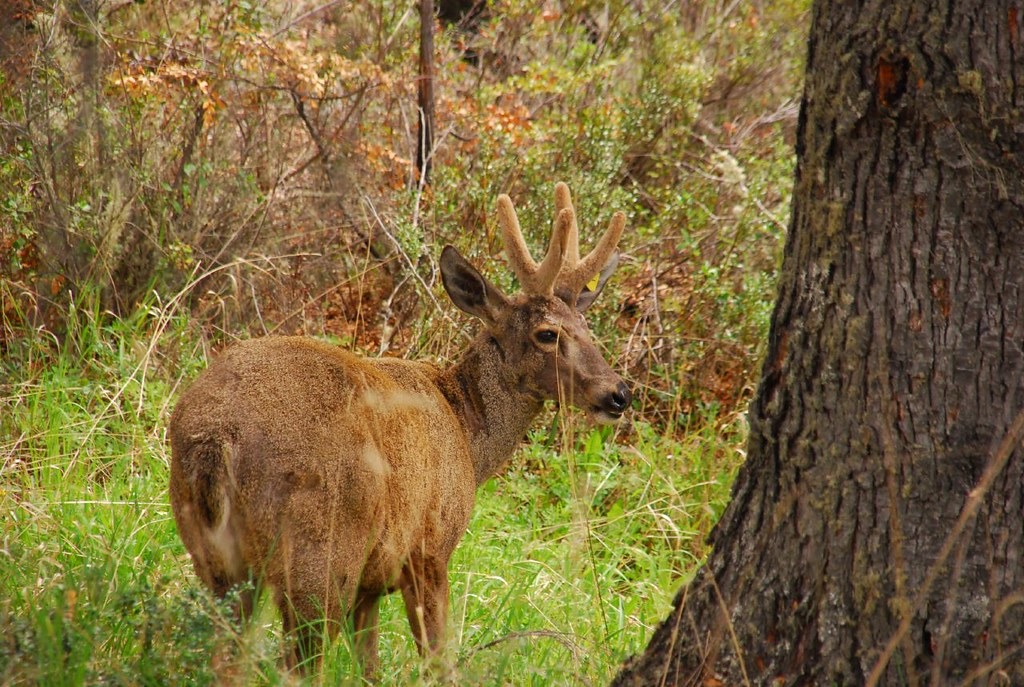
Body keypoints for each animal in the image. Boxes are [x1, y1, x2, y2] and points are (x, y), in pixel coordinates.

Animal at [165, 182, 630, 675]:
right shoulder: (430, 547)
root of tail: (216, 438)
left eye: (586, 325)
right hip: (319, 554)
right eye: (546, 333)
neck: (467, 431)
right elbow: (438, 658)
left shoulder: (370, 585)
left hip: (212, 556)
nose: (619, 394)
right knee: (298, 663)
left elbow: (368, 666)